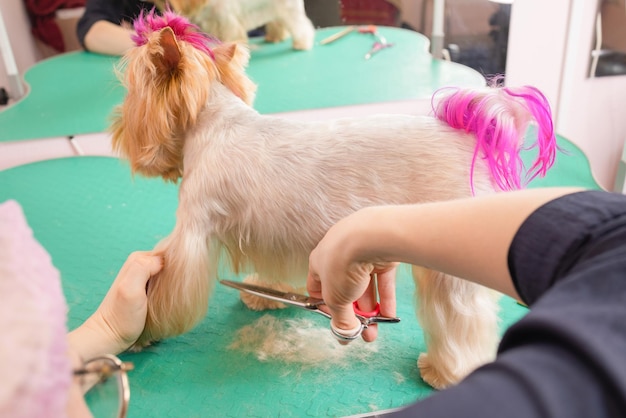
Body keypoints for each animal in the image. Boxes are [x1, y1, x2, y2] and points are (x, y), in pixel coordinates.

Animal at [112, 11, 556, 390]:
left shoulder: (191, 235)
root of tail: (474, 131)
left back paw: (445, 371)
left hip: (449, 263)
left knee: (460, 319)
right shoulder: (271, 235)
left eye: (131, 93)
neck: (216, 122)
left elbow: (161, 292)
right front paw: (262, 291)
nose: (117, 127)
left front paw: (139, 332)